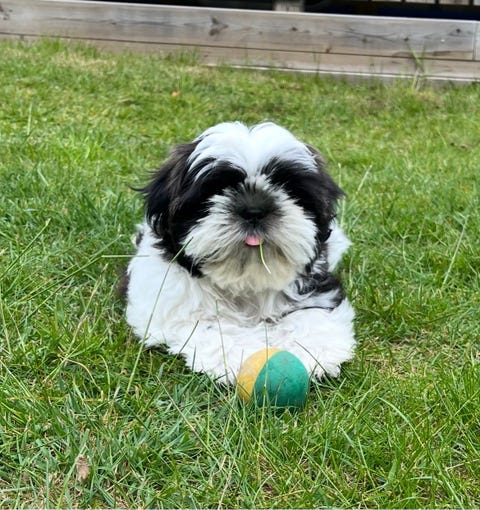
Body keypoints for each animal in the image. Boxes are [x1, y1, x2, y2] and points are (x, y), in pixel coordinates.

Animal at [123, 122, 355, 383]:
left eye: (287, 188)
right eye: (216, 189)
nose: (254, 210)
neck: (245, 280)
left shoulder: (315, 287)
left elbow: (311, 316)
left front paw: (313, 351)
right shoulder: (171, 306)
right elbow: (213, 328)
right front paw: (245, 356)